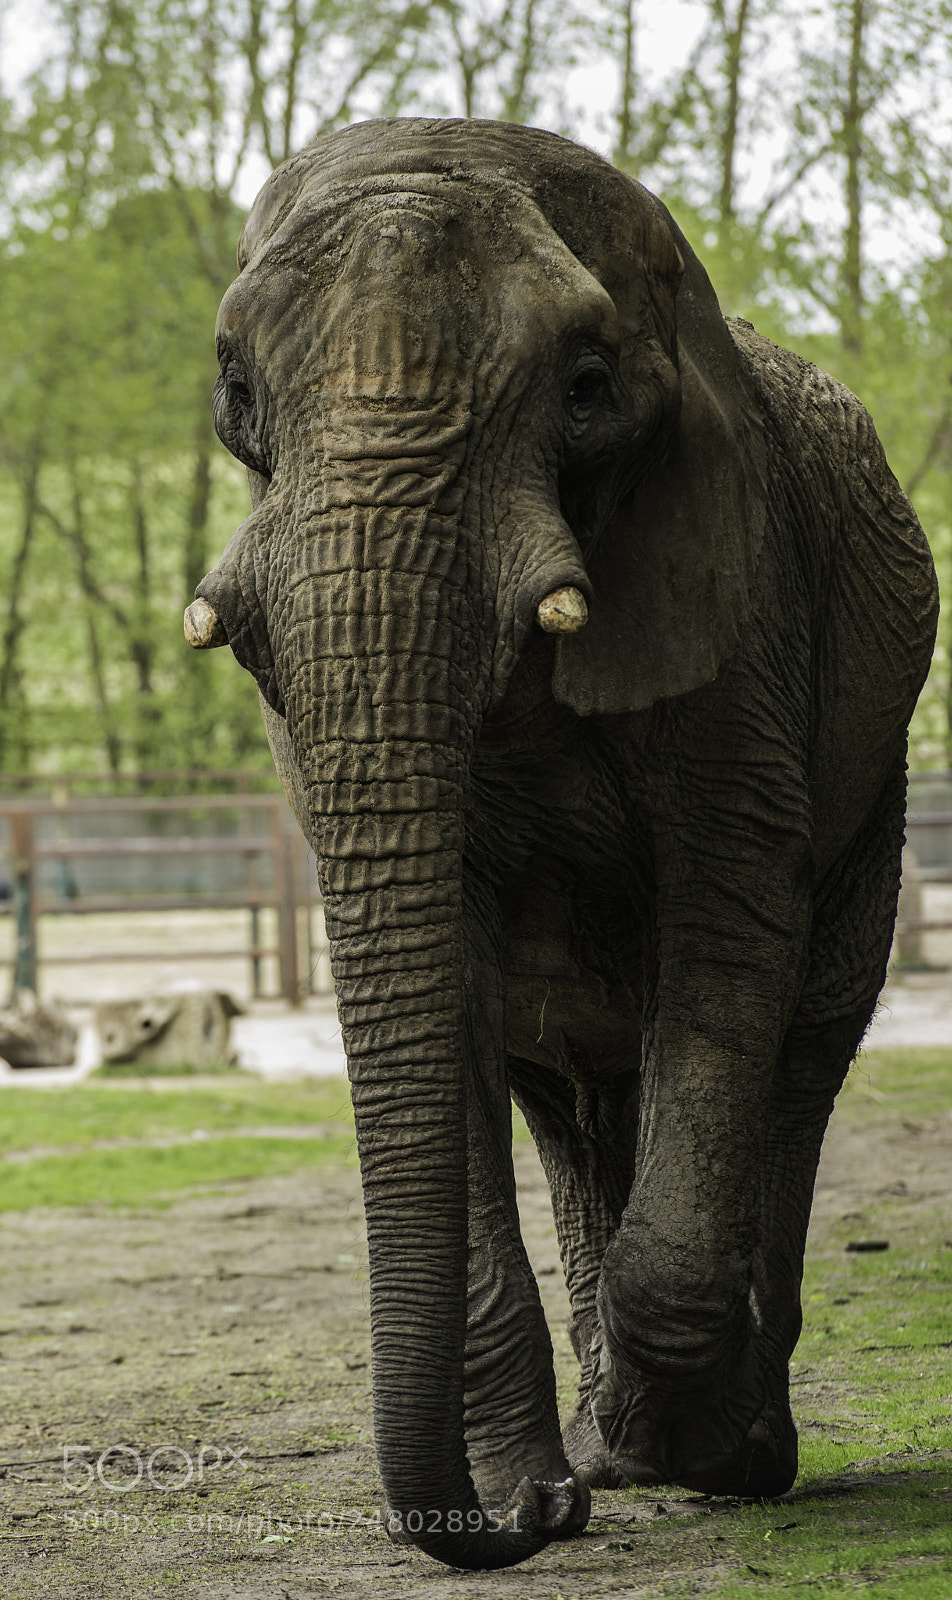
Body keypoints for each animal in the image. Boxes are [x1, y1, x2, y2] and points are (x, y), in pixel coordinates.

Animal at [184, 118, 938, 1570]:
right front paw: (554, 1483)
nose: (511, 1523)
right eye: (234, 389)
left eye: (585, 388)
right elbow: (450, 986)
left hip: (875, 791)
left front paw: (688, 1455)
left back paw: (727, 1446)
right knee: (567, 1092)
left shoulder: (739, 590)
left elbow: (730, 923)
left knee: (800, 1051)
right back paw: (606, 1443)